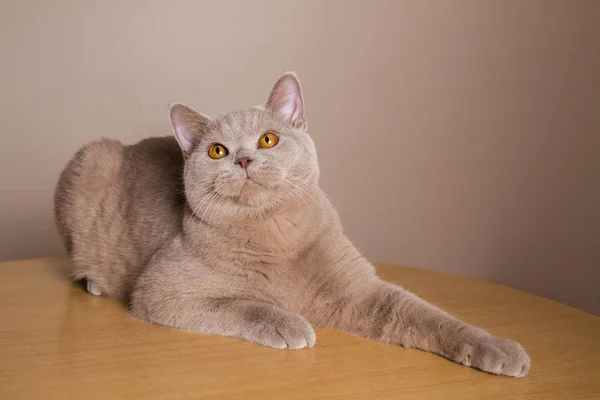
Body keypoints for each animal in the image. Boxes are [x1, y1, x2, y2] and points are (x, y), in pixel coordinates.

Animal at [52, 72, 528, 378]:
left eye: (268, 139)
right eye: (217, 150)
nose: (244, 159)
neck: (276, 234)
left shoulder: (359, 291)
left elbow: (430, 316)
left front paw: (500, 349)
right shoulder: (161, 290)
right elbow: (242, 303)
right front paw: (290, 323)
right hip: (89, 160)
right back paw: (95, 281)